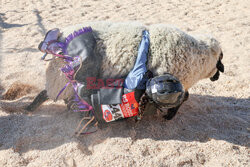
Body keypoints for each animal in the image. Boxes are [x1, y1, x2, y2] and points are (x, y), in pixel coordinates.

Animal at [25, 21, 225, 117]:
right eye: (220, 60)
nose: (217, 78)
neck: (197, 56)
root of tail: (56, 41)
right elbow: (182, 98)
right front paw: (169, 115)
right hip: (61, 79)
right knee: (46, 93)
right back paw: (30, 107)